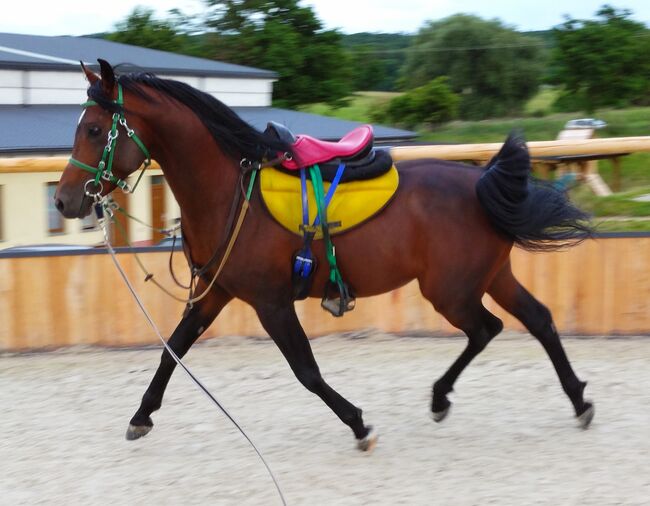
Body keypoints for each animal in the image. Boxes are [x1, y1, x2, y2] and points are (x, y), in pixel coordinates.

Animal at [54, 59, 592, 450]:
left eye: (96, 130)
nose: (63, 201)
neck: (230, 193)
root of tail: (481, 183)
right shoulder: (215, 292)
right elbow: (174, 350)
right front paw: (141, 415)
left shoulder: (270, 303)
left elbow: (306, 371)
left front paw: (358, 424)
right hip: (490, 277)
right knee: (538, 319)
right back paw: (576, 400)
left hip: (452, 291)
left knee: (487, 329)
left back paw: (445, 398)